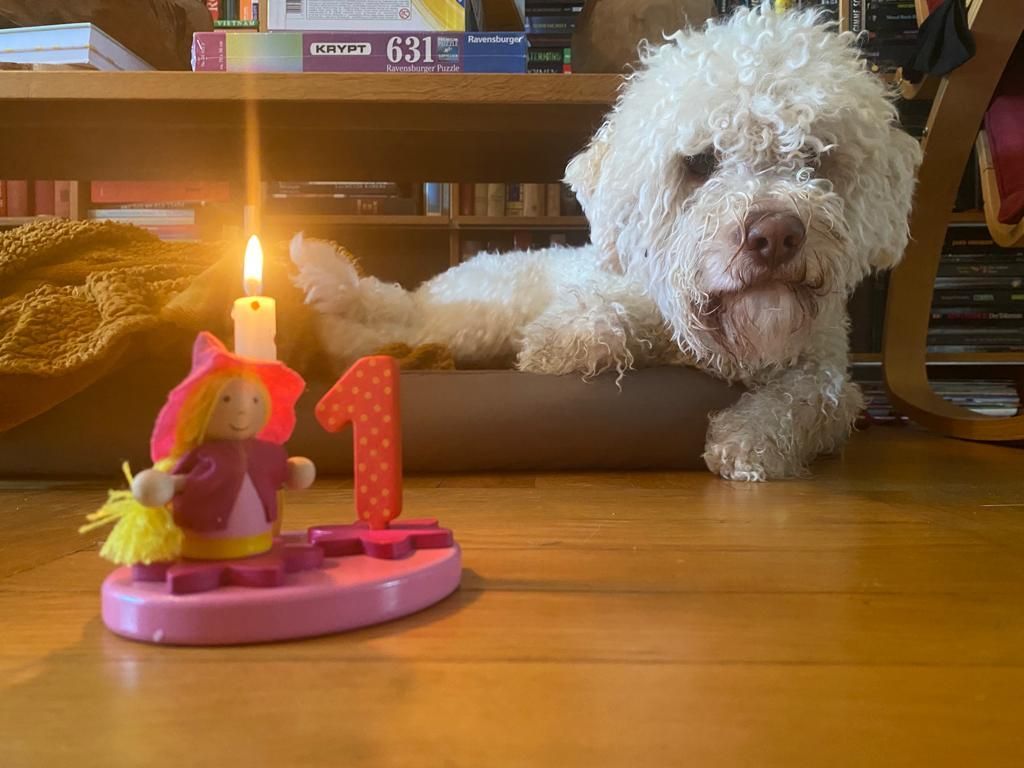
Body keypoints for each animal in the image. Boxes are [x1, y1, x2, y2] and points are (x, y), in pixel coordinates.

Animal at [292, 9, 925, 481]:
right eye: (699, 162)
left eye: (816, 158)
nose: (774, 235)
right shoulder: (618, 295)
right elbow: (599, 317)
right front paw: (562, 344)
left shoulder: (830, 372)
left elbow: (815, 397)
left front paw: (750, 438)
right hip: (470, 317)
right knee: (387, 315)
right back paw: (330, 282)